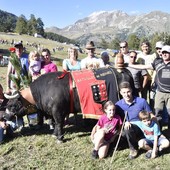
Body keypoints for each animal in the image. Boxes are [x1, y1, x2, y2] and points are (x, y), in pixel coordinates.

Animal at [2, 67, 135, 143]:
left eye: (12, 105)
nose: (4, 116)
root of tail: (122, 71)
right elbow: (56, 123)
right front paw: (55, 134)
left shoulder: (58, 111)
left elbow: (59, 123)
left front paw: (59, 138)